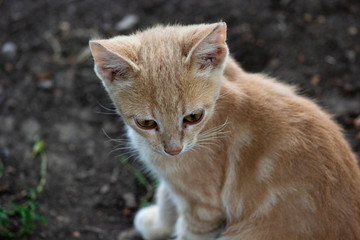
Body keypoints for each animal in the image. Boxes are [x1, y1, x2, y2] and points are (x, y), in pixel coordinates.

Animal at [89, 23, 360, 240]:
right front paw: (157, 225)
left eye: (193, 117)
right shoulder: (175, 180)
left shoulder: (203, 208)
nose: (174, 149)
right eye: (146, 123)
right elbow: (166, 197)